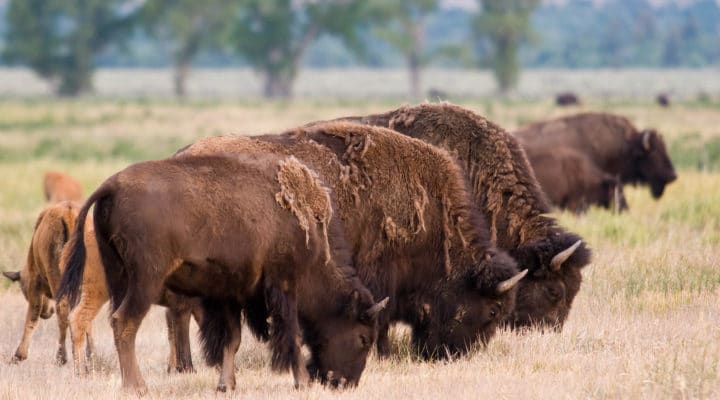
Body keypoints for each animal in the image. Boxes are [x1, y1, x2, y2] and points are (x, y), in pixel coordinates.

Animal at [57, 154, 388, 394]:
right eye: (363, 338)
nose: (345, 383)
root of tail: (112, 185)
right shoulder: (284, 287)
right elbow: (291, 336)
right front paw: (302, 382)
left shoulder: (229, 294)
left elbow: (233, 339)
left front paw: (225, 385)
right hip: (144, 282)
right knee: (124, 322)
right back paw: (136, 387)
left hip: (117, 278)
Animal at [177, 121, 524, 360]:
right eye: (492, 311)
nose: (454, 355)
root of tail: (183, 153)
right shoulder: (378, 276)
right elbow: (379, 316)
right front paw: (381, 354)